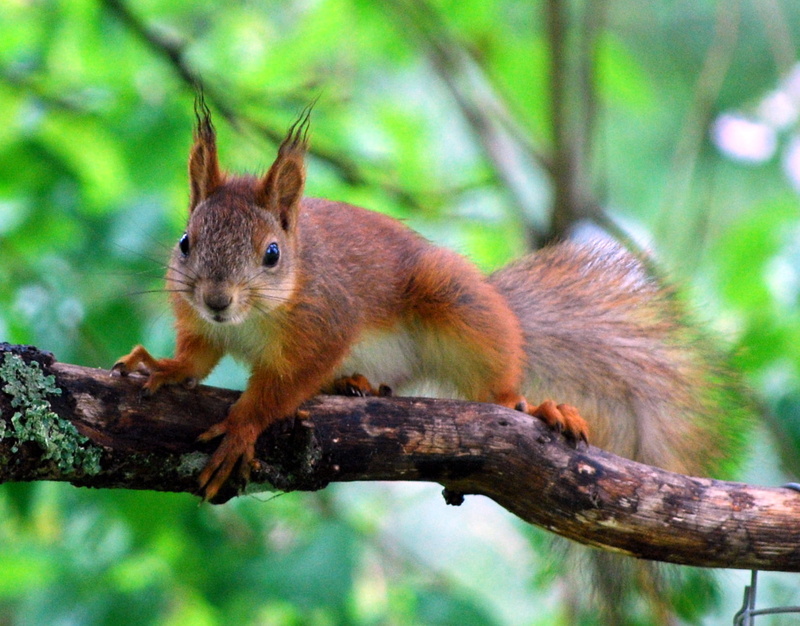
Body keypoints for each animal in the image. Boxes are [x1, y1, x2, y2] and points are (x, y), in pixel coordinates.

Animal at [113, 97, 746, 505]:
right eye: (185, 242)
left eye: (271, 254)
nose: (218, 298)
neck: (250, 319)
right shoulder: (199, 321)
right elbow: (196, 357)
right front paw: (162, 367)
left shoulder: (325, 323)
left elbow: (283, 387)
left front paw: (243, 427)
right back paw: (354, 384)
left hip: (458, 304)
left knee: (501, 392)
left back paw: (538, 407)